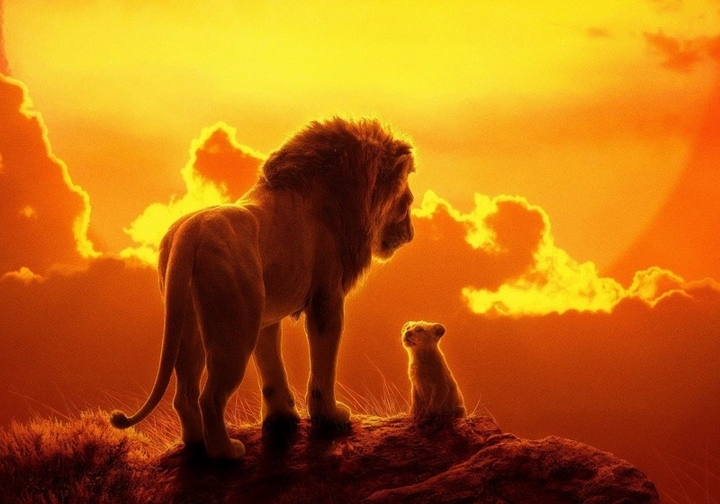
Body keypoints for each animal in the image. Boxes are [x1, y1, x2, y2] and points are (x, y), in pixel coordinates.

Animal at [110, 117, 415, 459]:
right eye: (407, 203)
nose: (411, 234)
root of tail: (190, 233)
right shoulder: (326, 300)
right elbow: (323, 365)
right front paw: (330, 417)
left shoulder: (266, 315)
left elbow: (271, 366)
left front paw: (282, 417)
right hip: (234, 329)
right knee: (210, 397)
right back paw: (226, 452)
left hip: (190, 323)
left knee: (185, 393)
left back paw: (196, 444)